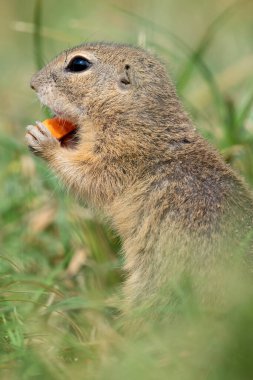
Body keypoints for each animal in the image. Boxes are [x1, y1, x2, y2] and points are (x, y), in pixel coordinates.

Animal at [25, 42, 253, 320]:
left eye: (78, 64)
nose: (33, 83)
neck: (135, 115)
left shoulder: (119, 153)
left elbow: (88, 175)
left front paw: (43, 140)